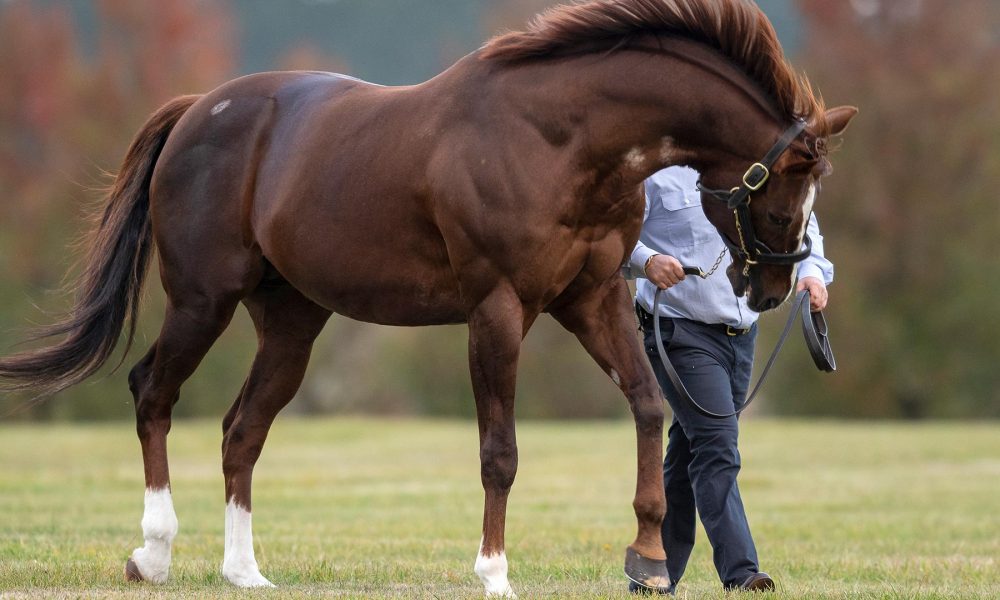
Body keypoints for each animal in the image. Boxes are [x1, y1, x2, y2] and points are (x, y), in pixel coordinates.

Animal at [0, 0, 855, 595]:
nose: (773, 288)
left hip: (292, 324)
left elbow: (650, 408)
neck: (560, 137)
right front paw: (495, 572)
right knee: (153, 393)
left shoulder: (593, 300)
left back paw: (244, 571)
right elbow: (500, 451)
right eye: (786, 196)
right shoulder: (498, 310)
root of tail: (196, 111)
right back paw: (153, 552)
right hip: (200, 302)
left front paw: (645, 557)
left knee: (242, 430)